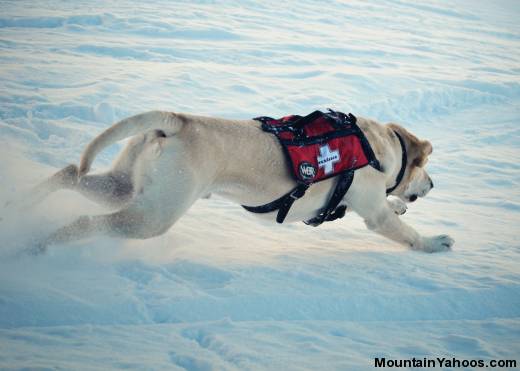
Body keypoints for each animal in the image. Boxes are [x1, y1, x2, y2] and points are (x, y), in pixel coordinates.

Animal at [13, 110, 456, 254]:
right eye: (425, 168)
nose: (434, 185)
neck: (377, 146)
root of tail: (178, 121)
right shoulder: (373, 211)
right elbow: (404, 231)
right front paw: (435, 243)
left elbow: (391, 207)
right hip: (151, 216)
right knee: (84, 223)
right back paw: (36, 247)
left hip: (123, 186)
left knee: (68, 173)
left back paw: (17, 207)